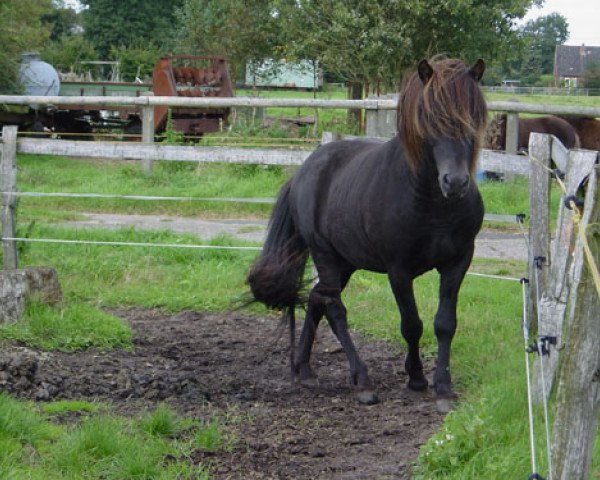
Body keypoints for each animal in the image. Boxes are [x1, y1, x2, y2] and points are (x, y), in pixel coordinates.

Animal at [248, 59, 488, 404]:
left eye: (473, 116)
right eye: (428, 118)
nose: (454, 182)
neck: (431, 205)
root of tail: (302, 172)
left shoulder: (458, 262)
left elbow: (444, 323)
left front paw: (443, 384)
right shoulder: (398, 270)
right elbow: (411, 325)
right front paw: (416, 377)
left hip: (344, 262)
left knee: (317, 300)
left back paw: (304, 369)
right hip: (325, 256)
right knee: (334, 309)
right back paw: (361, 379)